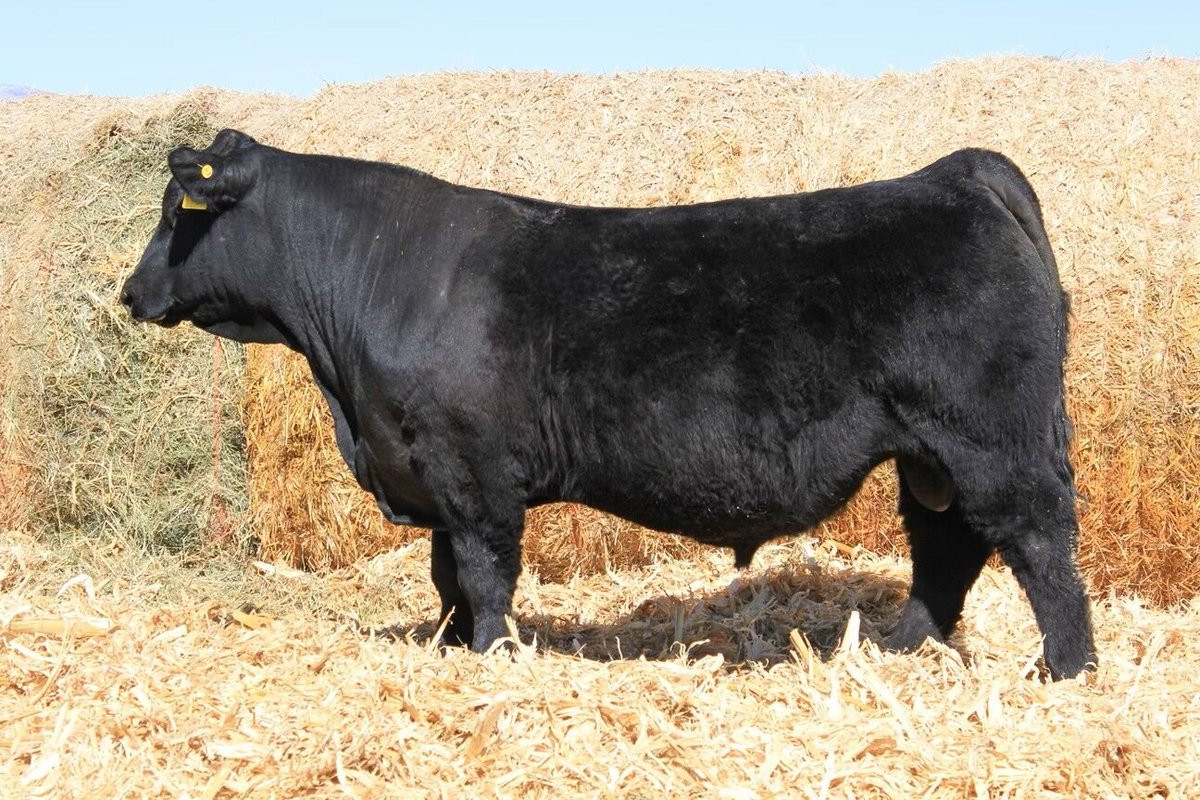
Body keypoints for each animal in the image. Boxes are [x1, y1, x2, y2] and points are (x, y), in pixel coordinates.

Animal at [121, 129, 1096, 679]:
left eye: (178, 210)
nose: (131, 293)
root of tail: (958, 174)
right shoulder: (431, 469)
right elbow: (444, 578)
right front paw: (448, 649)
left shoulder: (472, 471)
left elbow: (483, 573)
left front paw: (491, 656)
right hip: (931, 452)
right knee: (947, 549)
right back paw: (898, 649)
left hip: (991, 438)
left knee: (1038, 542)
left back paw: (1064, 670)